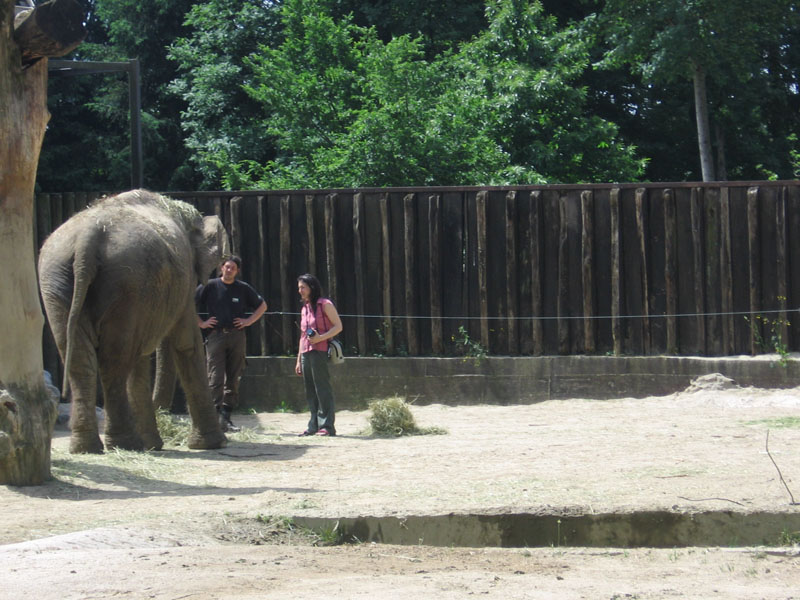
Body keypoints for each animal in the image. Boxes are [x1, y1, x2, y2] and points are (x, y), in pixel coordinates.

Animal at [39, 190, 230, 452]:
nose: (164, 412)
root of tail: (87, 238)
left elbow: (143, 353)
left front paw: (154, 445)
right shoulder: (182, 282)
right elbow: (186, 343)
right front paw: (213, 444)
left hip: (59, 280)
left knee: (81, 358)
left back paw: (88, 447)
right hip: (127, 282)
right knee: (115, 359)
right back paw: (126, 444)